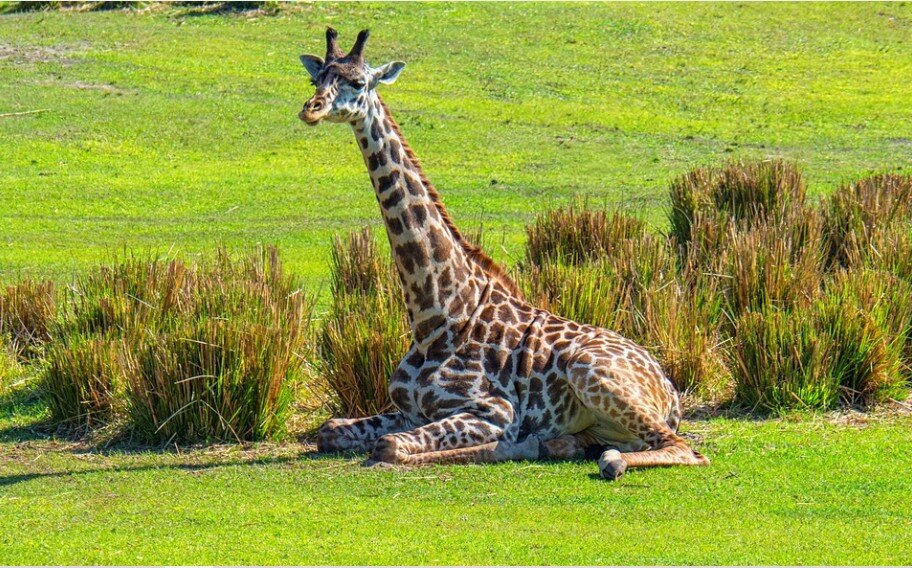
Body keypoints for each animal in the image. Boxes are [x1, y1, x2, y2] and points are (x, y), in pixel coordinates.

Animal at [298, 28, 709, 480]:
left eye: (357, 82)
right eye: (316, 78)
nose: (311, 109)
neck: (435, 315)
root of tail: (670, 390)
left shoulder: (493, 410)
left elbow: (391, 446)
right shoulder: (409, 410)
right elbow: (330, 430)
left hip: (591, 371)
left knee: (686, 450)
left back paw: (603, 459)